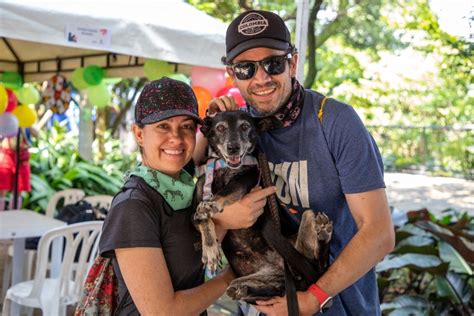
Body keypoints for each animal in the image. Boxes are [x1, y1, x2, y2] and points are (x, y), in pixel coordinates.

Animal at [193, 110, 334, 302]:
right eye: (220, 128)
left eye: (245, 126)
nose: (233, 147)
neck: (223, 168)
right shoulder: (194, 212)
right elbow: (202, 220)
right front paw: (210, 248)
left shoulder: (246, 180)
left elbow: (226, 191)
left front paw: (212, 203)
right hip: (266, 280)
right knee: (273, 289)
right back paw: (243, 289)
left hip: (300, 232)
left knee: (318, 264)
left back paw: (323, 234)